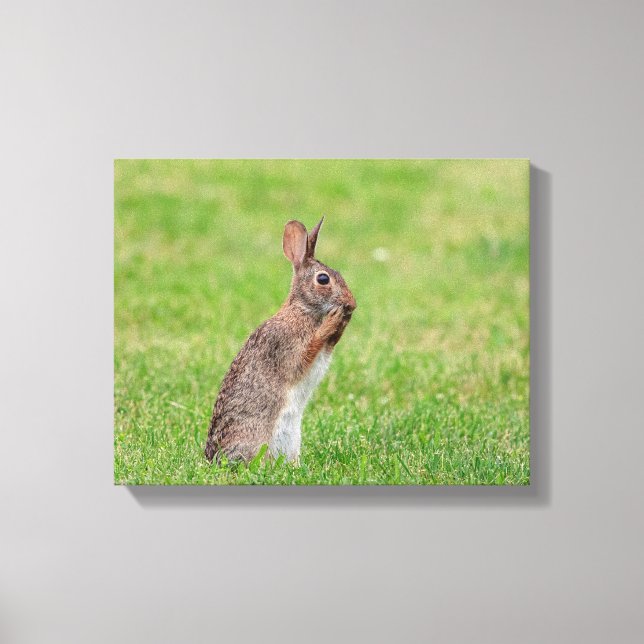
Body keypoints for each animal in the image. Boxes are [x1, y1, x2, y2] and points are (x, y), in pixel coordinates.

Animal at [204, 217, 356, 464]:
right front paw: (333, 319)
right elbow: (307, 353)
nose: (352, 304)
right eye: (323, 279)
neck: (302, 310)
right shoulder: (286, 346)